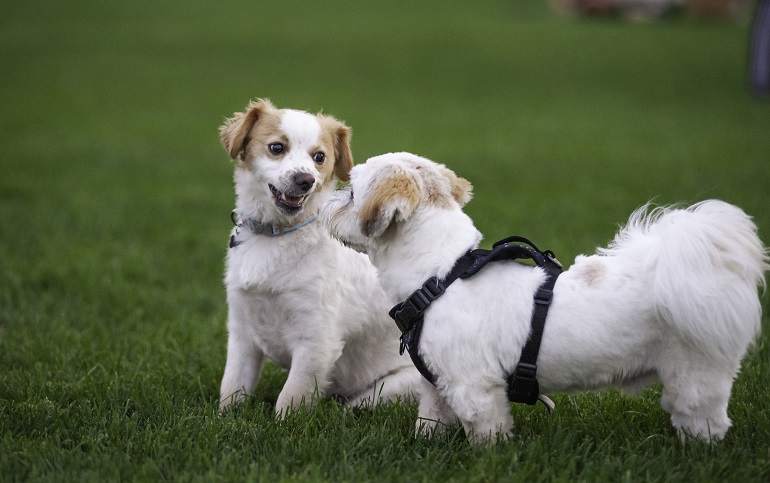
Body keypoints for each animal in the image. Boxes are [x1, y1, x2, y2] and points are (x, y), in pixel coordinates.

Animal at [216, 101, 420, 412]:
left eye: (320, 157)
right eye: (276, 147)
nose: (305, 180)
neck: (276, 236)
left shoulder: (316, 341)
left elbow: (289, 399)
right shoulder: (241, 332)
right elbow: (231, 389)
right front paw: (225, 417)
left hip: (385, 391)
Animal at [318, 151, 760, 442]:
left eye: (351, 192)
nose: (323, 201)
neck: (440, 277)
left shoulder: (475, 388)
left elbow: (487, 434)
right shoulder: (437, 384)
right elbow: (430, 422)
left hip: (694, 374)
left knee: (704, 419)